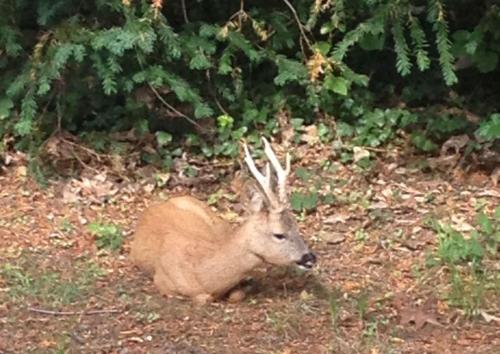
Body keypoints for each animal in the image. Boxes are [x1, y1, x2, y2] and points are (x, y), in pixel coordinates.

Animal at [129, 138, 316, 304]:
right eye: (279, 234)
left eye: (296, 226)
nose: (310, 257)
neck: (199, 270)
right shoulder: (162, 282)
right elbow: (204, 298)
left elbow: (237, 295)